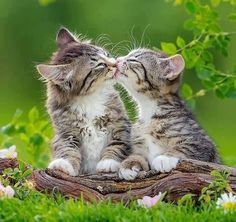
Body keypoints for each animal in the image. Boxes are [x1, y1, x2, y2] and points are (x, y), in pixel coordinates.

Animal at [36, 28, 131, 177]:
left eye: (106, 54)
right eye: (100, 65)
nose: (115, 62)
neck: (89, 99)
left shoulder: (120, 125)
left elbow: (117, 144)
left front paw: (108, 163)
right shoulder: (66, 133)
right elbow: (67, 149)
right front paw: (63, 164)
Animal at [115, 47, 220, 180]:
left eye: (134, 59)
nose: (117, 60)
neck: (148, 111)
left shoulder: (203, 143)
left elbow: (185, 146)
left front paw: (165, 158)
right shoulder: (138, 146)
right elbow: (137, 155)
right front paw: (129, 164)